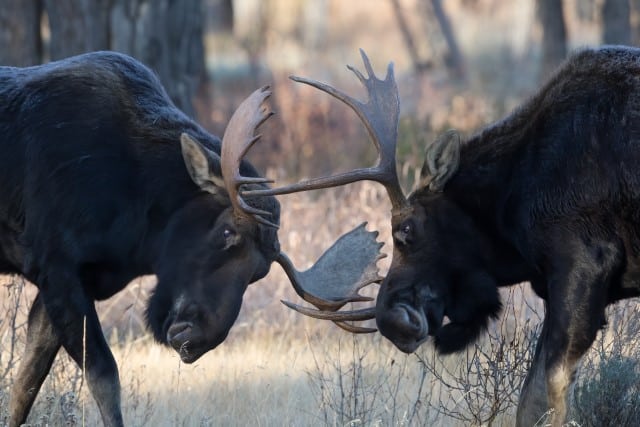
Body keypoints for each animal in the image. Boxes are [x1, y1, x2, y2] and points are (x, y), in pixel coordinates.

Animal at [0, 51, 382, 426]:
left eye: (258, 272)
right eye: (227, 232)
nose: (195, 337)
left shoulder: (74, 282)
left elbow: (25, 385)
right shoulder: (56, 266)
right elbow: (103, 375)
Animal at [246, 48, 640, 426]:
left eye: (405, 230)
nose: (392, 320)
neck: (510, 200)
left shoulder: (583, 266)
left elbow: (543, 397)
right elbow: (531, 397)